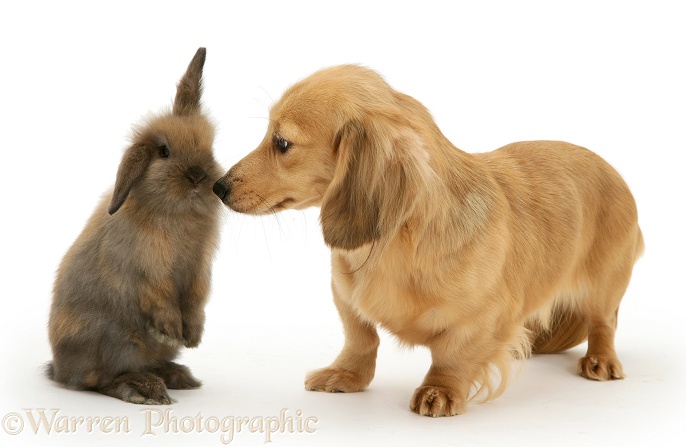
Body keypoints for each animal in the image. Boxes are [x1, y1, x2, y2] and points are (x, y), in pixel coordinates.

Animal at [46, 48, 223, 406]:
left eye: (209, 147)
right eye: (164, 151)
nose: (198, 176)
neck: (177, 212)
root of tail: (58, 369)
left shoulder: (201, 266)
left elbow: (197, 297)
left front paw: (193, 336)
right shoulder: (148, 268)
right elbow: (161, 297)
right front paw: (172, 330)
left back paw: (177, 375)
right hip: (113, 340)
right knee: (99, 380)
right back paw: (146, 388)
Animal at [214, 65, 644, 418]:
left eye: (282, 143)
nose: (217, 187)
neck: (393, 247)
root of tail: (613, 172)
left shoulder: (483, 318)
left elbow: (451, 357)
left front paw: (439, 391)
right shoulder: (345, 296)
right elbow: (360, 338)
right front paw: (345, 375)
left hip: (604, 286)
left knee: (604, 322)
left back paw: (600, 360)